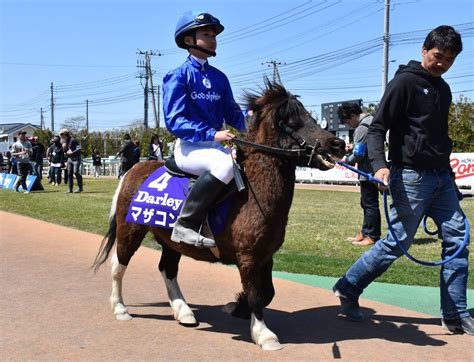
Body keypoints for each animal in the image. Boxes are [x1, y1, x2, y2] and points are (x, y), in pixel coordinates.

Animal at [91, 80, 344, 350]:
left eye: (312, 117)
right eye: (293, 121)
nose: (338, 144)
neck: (252, 191)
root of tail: (133, 169)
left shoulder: (265, 255)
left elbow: (267, 292)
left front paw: (237, 307)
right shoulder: (248, 256)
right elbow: (256, 294)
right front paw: (263, 334)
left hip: (171, 240)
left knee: (167, 269)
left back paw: (183, 311)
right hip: (130, 230)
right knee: (119, 265)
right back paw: (120, 308)